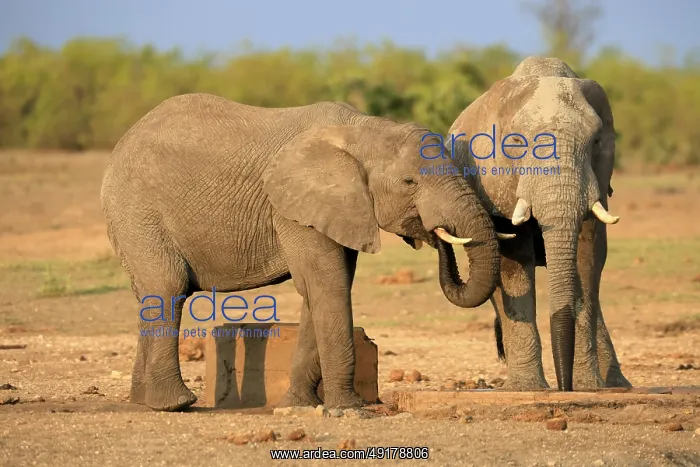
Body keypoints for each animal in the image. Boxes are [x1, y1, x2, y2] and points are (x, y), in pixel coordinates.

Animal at [100, 92, 511, 411]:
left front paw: (299, 405)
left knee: (150, 291)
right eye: (409, 182)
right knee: (168, 286)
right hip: (137, 210)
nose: (436, 234)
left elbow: (324, 288)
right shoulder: (293, 205)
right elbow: (327, 284)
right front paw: (349, 410)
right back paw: (176, 404)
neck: (359, 129)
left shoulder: (341, 209)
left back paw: (142, 401)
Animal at [446, 56, 632, 391]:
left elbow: (588, 258)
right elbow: (514, 263)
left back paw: (617, 384)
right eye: (517, 143)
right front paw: (527, 389)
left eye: (596, 141)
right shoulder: (496, 182)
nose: (564, 387)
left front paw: (588, 388)